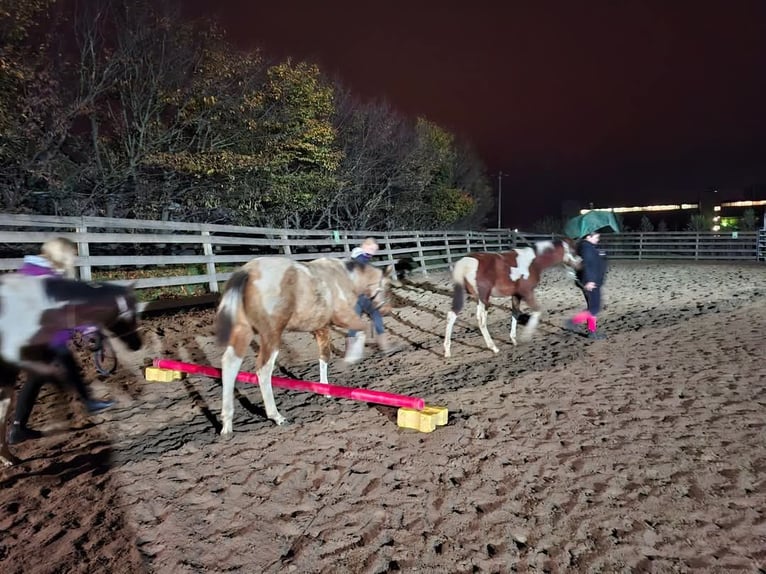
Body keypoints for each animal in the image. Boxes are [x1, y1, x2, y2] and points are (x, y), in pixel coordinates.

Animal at [213, 258, 400, 436]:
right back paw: (277, 416)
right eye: (387, 288)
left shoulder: (321, 327)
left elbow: (324, 356)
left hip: (243, 331)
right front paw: (351, 358)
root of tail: (247, 272)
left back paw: (227, 423)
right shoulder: (343, 317)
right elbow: (362, 330)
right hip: (271, 335)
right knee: (263, 370)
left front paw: (325, 390)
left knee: (230, 365)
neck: (345, 278)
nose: (387, 310)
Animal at [444, 236, 584, 358]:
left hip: (467, 296)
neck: (533, 262)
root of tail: (465, 263)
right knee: (481, 320)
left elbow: (515, 313)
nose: (580, 264)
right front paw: (525, 338)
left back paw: (447, 350)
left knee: (452, 315)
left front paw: (514, 340)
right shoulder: (526, 292)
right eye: (573, 250)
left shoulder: (516, 295)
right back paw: (493, 347)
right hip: (484, 298)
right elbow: (538, 310)